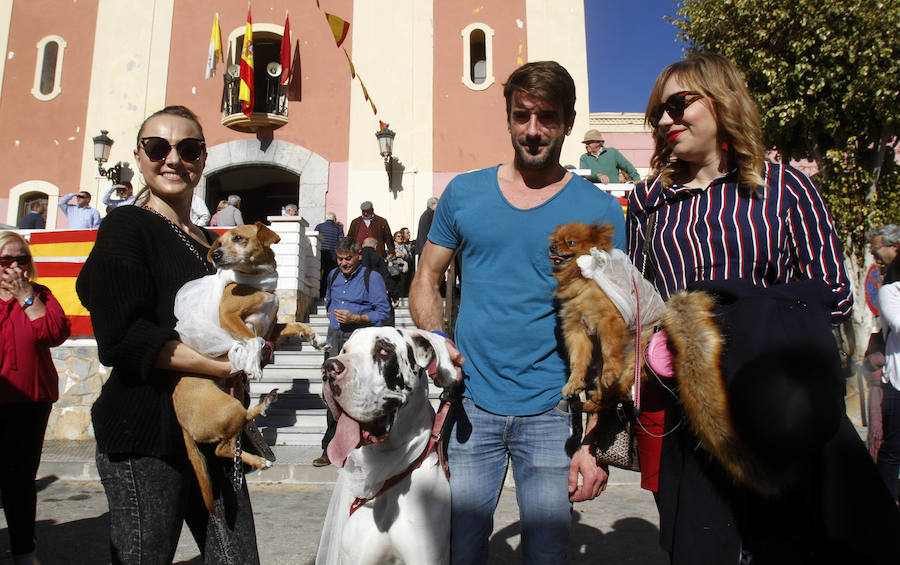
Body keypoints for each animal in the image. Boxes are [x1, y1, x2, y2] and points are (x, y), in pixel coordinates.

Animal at [174, 223, 328, 512]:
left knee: (237, 431)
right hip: (228, 407)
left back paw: (266, 405)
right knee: (222, 448)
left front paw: (317, 340)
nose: (216, 256)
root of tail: (182, 423)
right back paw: (260, 456)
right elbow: (253, 339)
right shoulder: (229, 318)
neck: (258, 282)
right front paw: (254, 364)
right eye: (218, 242)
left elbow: (299, 325)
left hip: (235, 400)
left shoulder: (273, 328)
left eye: (237, 238)